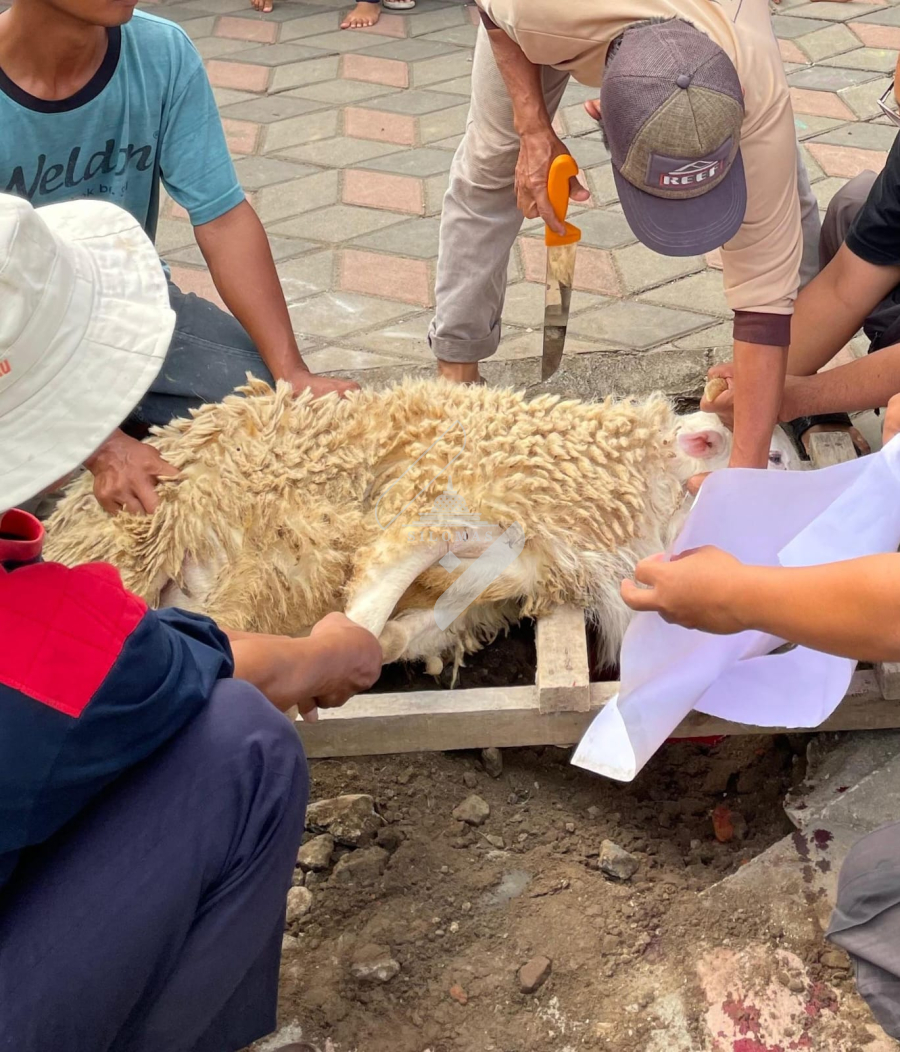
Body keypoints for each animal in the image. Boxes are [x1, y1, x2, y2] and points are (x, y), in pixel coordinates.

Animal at [43, 377, 786, 674]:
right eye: (775, 458)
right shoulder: (425, 509)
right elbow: (370, 604)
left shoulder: (503, 582)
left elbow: (413, 628)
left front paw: (386, 646)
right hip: (137, 548)